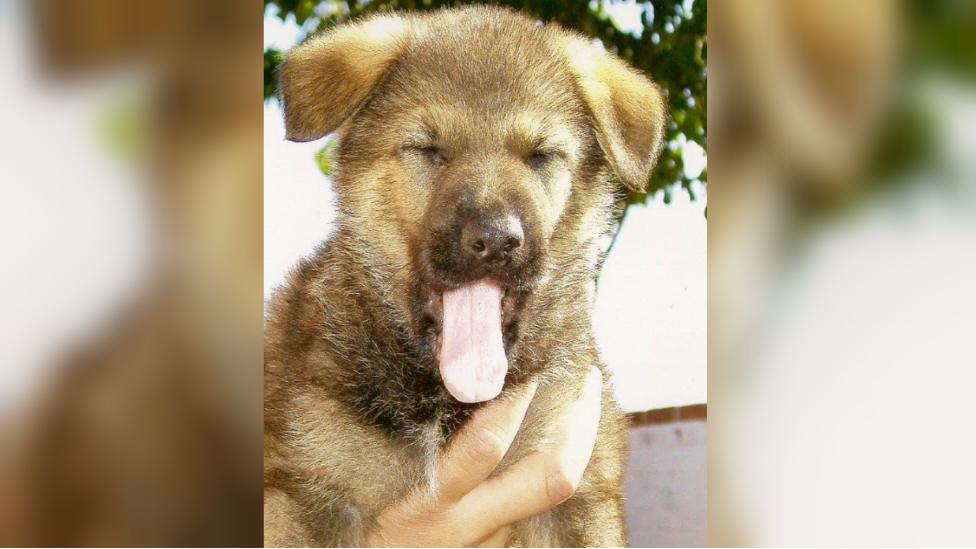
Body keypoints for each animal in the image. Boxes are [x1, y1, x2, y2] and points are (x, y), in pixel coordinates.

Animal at [264, 6, 668, 544]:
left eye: (540, 155)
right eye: (428, 149)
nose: (496, 240)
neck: (445, 405)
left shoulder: (578, 490)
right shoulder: (309, 487)